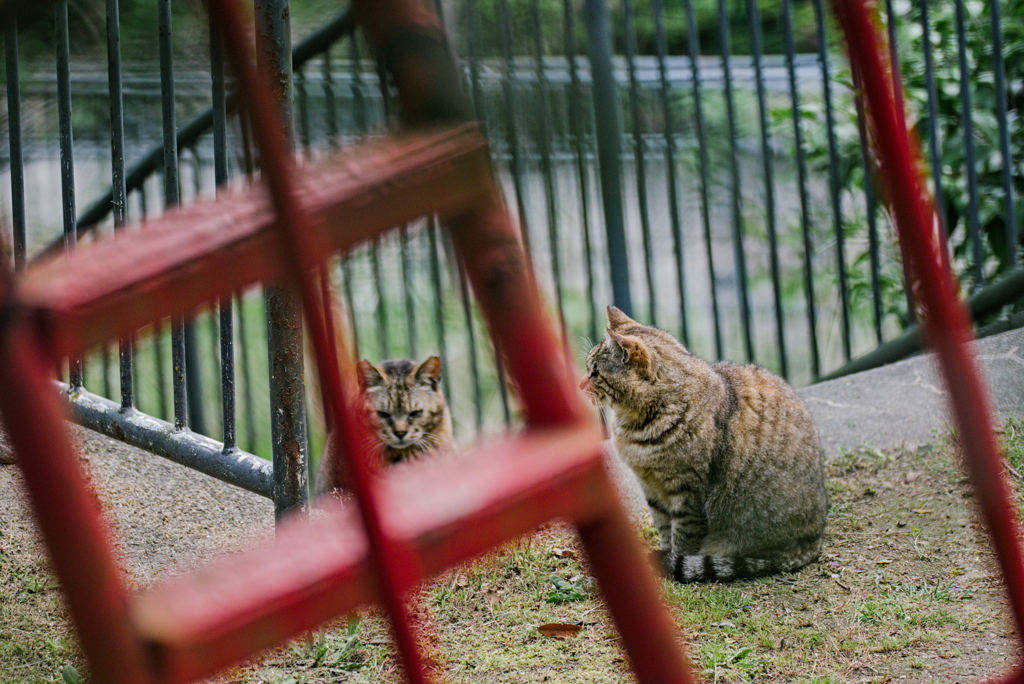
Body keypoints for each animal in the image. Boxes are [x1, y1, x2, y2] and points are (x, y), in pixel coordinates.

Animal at [581, 307, 827, 581]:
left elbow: (683, 535)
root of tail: (814, 540)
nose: (579, 385)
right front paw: (665, 556)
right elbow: (664, 527)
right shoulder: (651, 488)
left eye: (594, 373)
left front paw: (672, 563)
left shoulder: (688, 490)